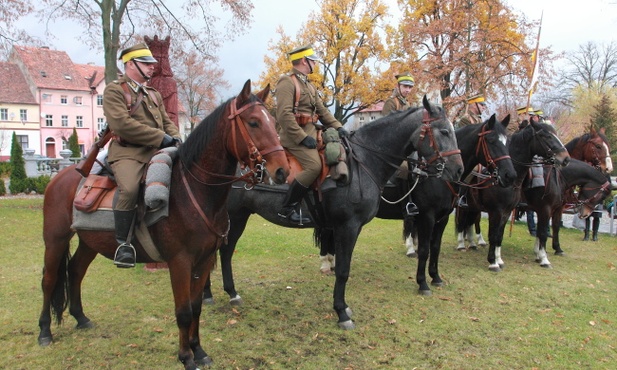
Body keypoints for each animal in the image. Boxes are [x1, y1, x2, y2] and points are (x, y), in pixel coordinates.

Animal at [38, 79, 288, 368]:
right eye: (254, 122)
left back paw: (81, 318)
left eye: (273, 121)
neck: (193, 191)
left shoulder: (203, 260)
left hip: (89, 242)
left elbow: (196, 307)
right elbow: (183, 311)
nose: (282, 170)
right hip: (55, 239)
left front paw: (198, 350)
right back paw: (44, 332)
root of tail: (61, 176)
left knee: (75, 271)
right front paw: (186, 357)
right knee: (49, 279)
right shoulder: (179, 262)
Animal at [376, 114, 516, 294]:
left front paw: (435, 277)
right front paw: (422, 283)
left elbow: (435, 247)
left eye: (507, 141)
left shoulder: (442, 218)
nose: (510, 175)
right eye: (491, 140)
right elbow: (424, 249)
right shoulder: (427, 218)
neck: (439, 177)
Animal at [452, 123, 572, 270]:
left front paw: (499, 259)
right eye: (546, 136)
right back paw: (461, 244)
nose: (565, 158)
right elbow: (495, 235)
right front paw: (543, 259)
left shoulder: (507, 212)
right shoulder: (499, 211)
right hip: (464, 206)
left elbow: (500, 235)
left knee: (469, 222)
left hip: (474, 207)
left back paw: (472, 244)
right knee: (462, 221)